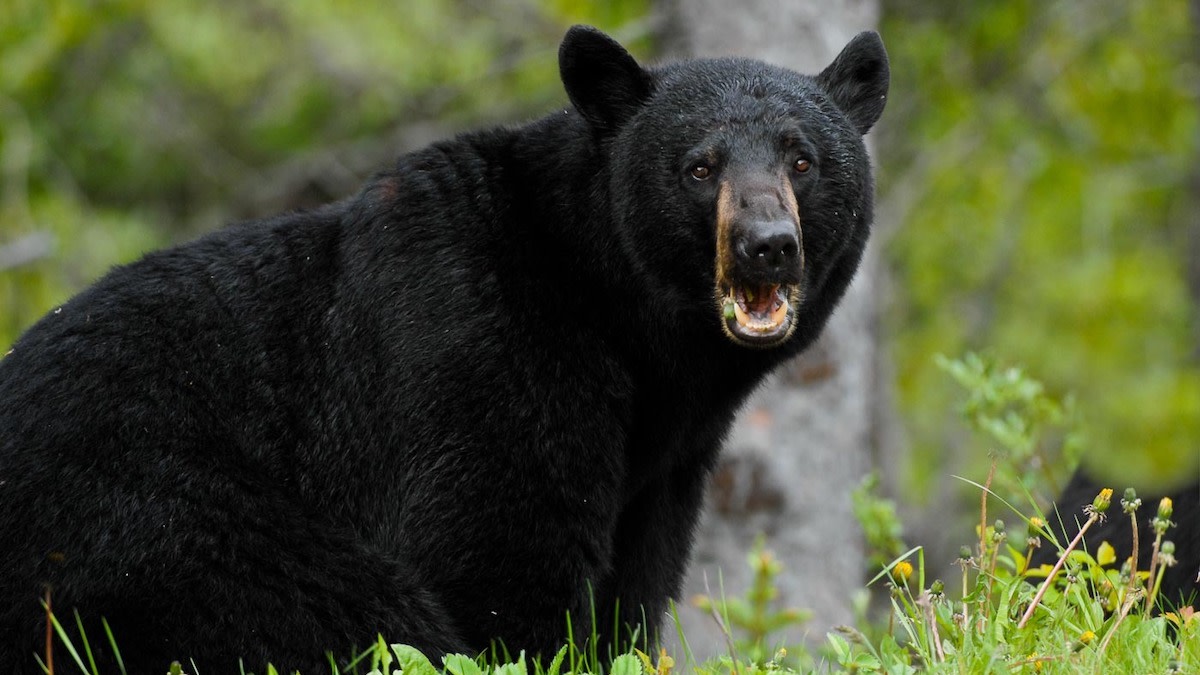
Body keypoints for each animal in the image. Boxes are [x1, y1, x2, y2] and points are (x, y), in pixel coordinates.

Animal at [0, 25, 889, 673]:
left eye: (802, 159)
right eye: (699, 167)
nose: (766, 246)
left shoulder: (665, 468)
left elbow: (633, 589)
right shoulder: (481, 350)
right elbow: (494, 563)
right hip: (150, 520)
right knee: (328, 607)